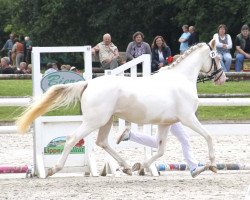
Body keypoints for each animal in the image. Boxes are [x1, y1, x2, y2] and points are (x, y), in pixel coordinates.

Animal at [15, 39, 227, 177]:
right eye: (217, 58)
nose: (223, 78)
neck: (181, 79)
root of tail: (88, 83)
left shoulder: (165, 123)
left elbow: (160, 150)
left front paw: (140, 167)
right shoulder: (188, 118)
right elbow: (209, 136)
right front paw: (212, 165)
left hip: (106, 121)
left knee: (102, 142)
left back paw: (125, 166)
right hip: (94, 121)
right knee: (72, 139)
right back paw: (54, 169)